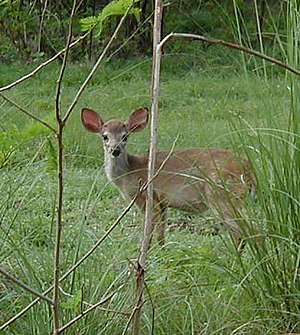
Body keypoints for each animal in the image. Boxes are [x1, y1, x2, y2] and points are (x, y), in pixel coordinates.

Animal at [81, 107, 255, 249]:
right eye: (105, 136)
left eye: (125, 136)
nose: (115, 150)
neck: (129, 173)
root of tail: (248, 168)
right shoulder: (163, 203)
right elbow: (161, 236)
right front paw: (162, 253)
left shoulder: (146, 198)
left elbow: (147, 236)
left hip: (221, 195)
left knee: (247, 231)